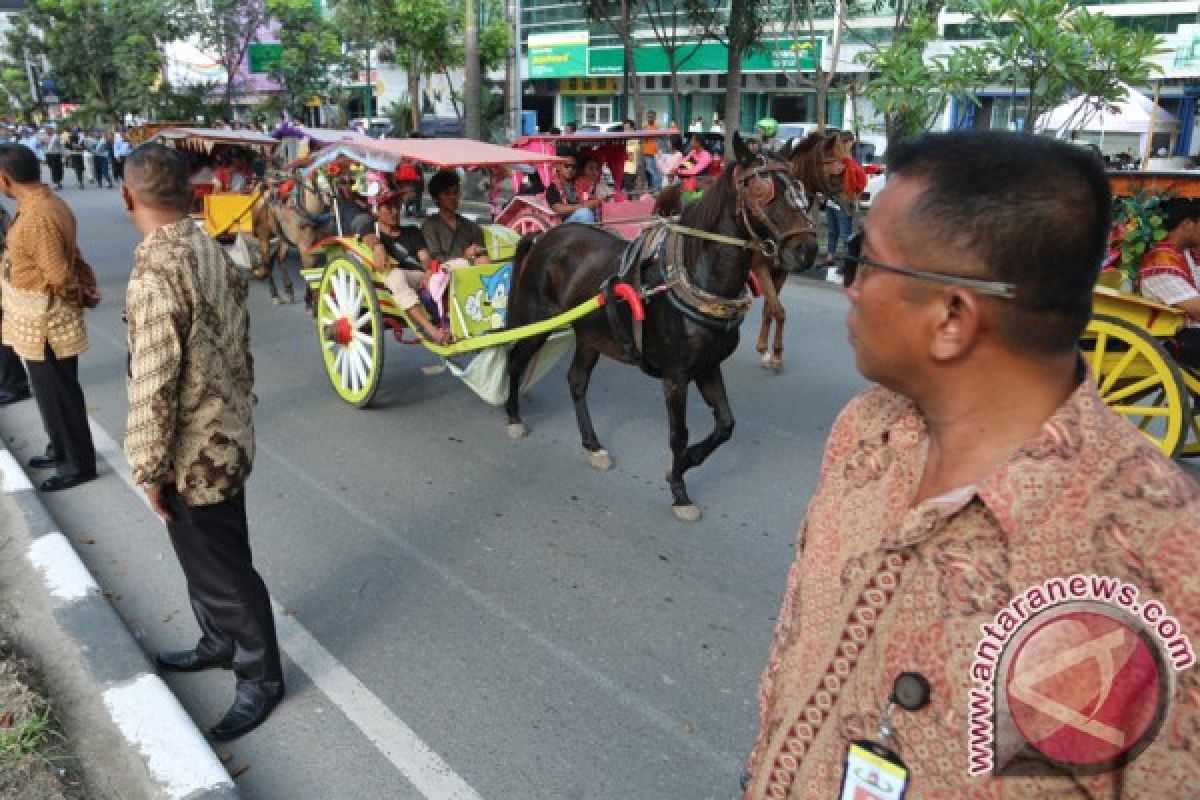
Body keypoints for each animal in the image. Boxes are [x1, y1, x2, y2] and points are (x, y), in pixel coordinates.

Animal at [501, 134, 820, 522]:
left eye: (799, 188)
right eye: (761, 191)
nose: (808, 250)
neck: (695, 278)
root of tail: (545, 237)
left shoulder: (708, 366)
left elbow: (725, 425)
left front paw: (682, 465)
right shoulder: (676, 375)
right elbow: (678, 434)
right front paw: (679, 491)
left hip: (591, 335)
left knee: (577, 381)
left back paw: (592, 445)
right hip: (537, 320)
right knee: (516, 361)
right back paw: (513, 417)